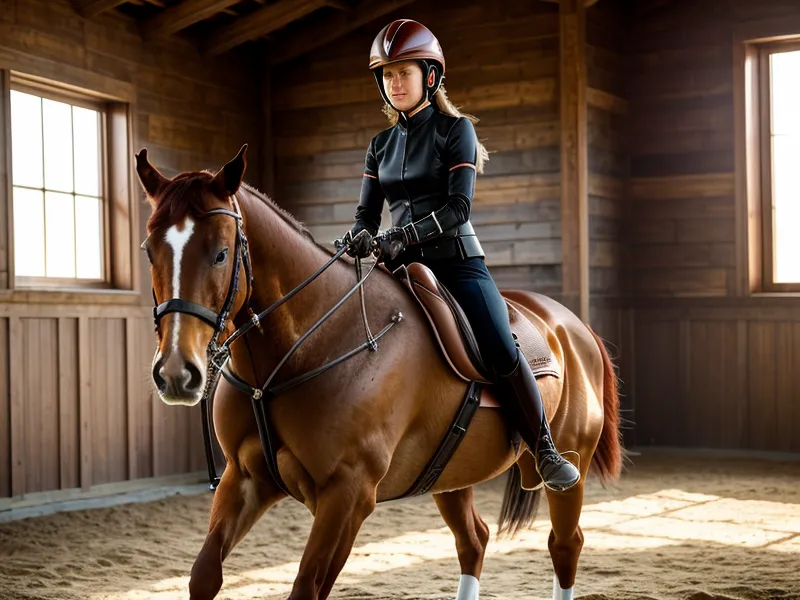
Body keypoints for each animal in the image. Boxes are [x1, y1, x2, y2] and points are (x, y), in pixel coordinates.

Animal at [135, 143, 623, 600]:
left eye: (221, 254)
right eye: (149, 251)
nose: (177, 373)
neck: (299, 352)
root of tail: (575, 326)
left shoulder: (348, 494)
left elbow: (307, 586)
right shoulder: (244, 479)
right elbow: (204, 575)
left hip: (570, 464)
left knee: (565, 544)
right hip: (452, 475)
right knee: (474, 540)